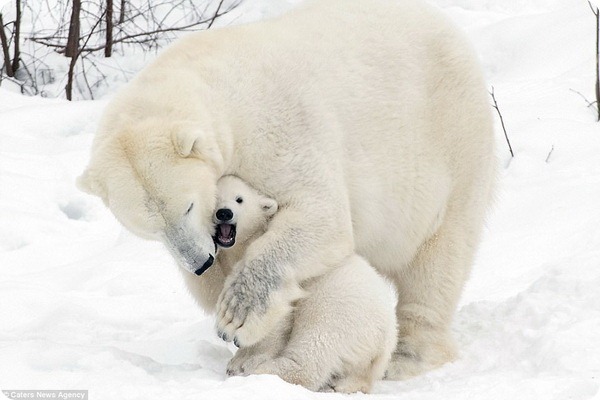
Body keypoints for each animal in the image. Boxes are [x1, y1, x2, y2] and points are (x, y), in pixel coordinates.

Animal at [77, 0, 494, 378]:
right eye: (150, 229)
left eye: (188, 207)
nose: (200, 263)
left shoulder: (279, 129)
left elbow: (320, 215)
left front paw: (236, 315)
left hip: (448, 144)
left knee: (438, 256)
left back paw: (409, 356)